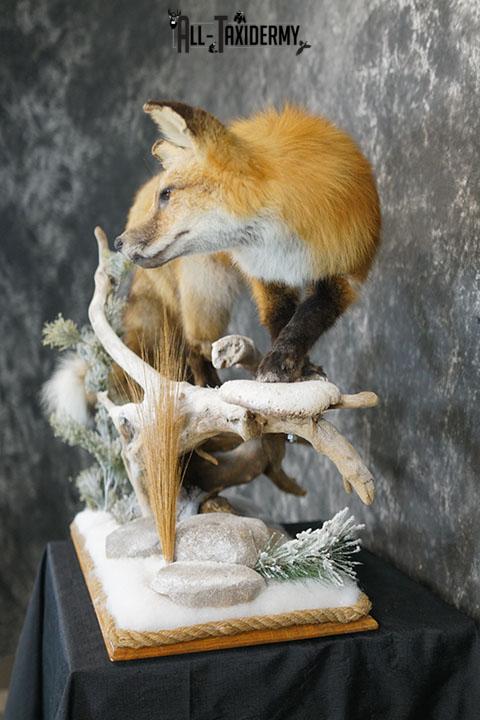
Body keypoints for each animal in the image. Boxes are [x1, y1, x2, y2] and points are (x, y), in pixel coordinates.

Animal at [116, 101, 381, 384]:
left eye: (166, 195)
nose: (118, 243)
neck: (283, 247)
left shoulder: (342, 270)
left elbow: (306, 319)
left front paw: (288, 364)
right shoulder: (266, 276)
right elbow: (279, 320)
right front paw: (296, 369)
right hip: (209, 293)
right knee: (195, 348)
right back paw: (210, 387)